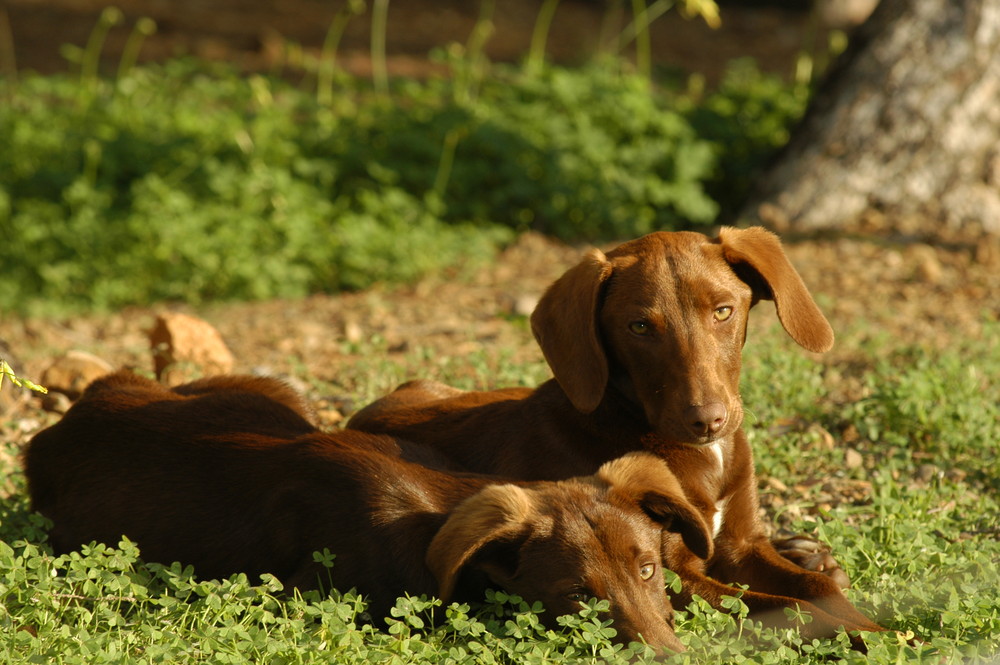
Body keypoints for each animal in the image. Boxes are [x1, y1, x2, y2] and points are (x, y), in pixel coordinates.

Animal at [348, 226, 888, 644]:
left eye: (723, 311)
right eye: (640, 327)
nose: (707, 420)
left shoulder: (740, 543)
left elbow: (816, 591)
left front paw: (872, 624)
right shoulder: (672, 573)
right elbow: (785, 608)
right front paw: (869, 637)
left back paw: (810, 552)